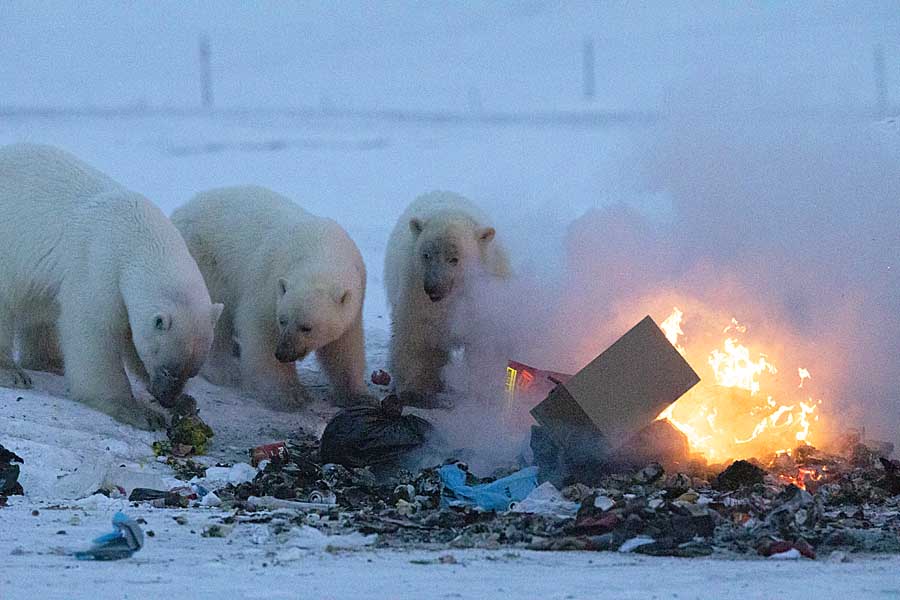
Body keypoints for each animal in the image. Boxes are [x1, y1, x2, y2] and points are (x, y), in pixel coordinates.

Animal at [0, 143, 223, 428]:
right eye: (166, 368)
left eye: (191, 371)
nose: (166, 399)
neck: (140, 237)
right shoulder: (98, 265)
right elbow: (95, 334)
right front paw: (140, 412)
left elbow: (130, 337)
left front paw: (186, 402)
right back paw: (12, 372)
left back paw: (50, 362)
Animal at [171, 185, 368, 406]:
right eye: (283, 320)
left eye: (307, 327)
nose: (283, 353)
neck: (320, 251)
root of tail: (181, 209)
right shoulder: (269, 282)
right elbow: (262, 330)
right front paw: (288, 394)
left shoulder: (355, 298)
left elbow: (344, 346)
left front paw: (357, 394)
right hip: (206, 260)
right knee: (217, 313)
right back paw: (223, 371)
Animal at [382, 190, 510, 396]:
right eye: (426, 255)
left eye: (454, 259)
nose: (432, 287)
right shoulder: (415, 290)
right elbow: (417, 337)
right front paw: (417, 388)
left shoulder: (486, 291)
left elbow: (486, 339)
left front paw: (483, 385)